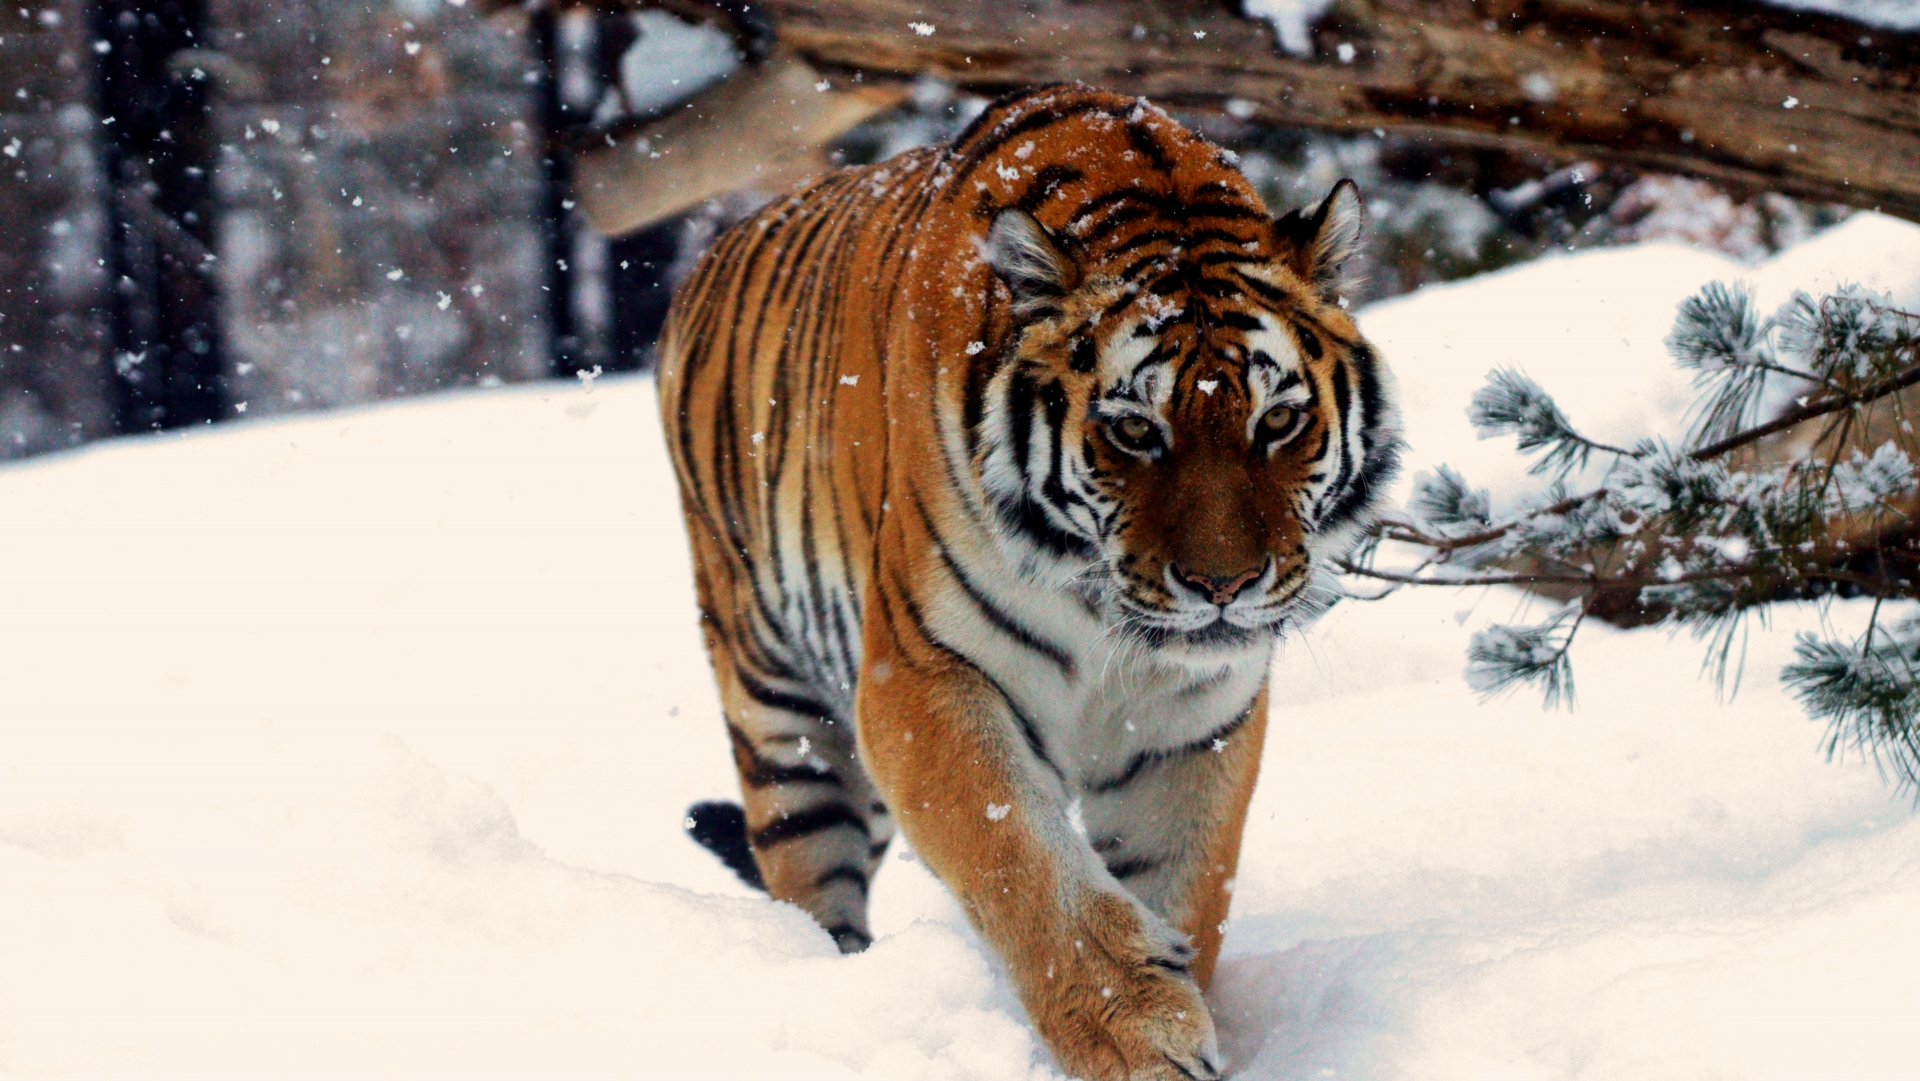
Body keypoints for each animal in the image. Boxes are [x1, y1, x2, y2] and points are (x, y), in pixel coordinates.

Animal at [656, 86, 1397, 1081]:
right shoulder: (924, 676)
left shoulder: (1195, 719)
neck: (1106, 615)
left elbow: (1185, 881)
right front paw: (1138, 1035)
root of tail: (714, 250)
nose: (1225, 584)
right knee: (810, 885)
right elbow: (1022, 861)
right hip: (778, 711)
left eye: (1279, 421)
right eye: (1134, 431)